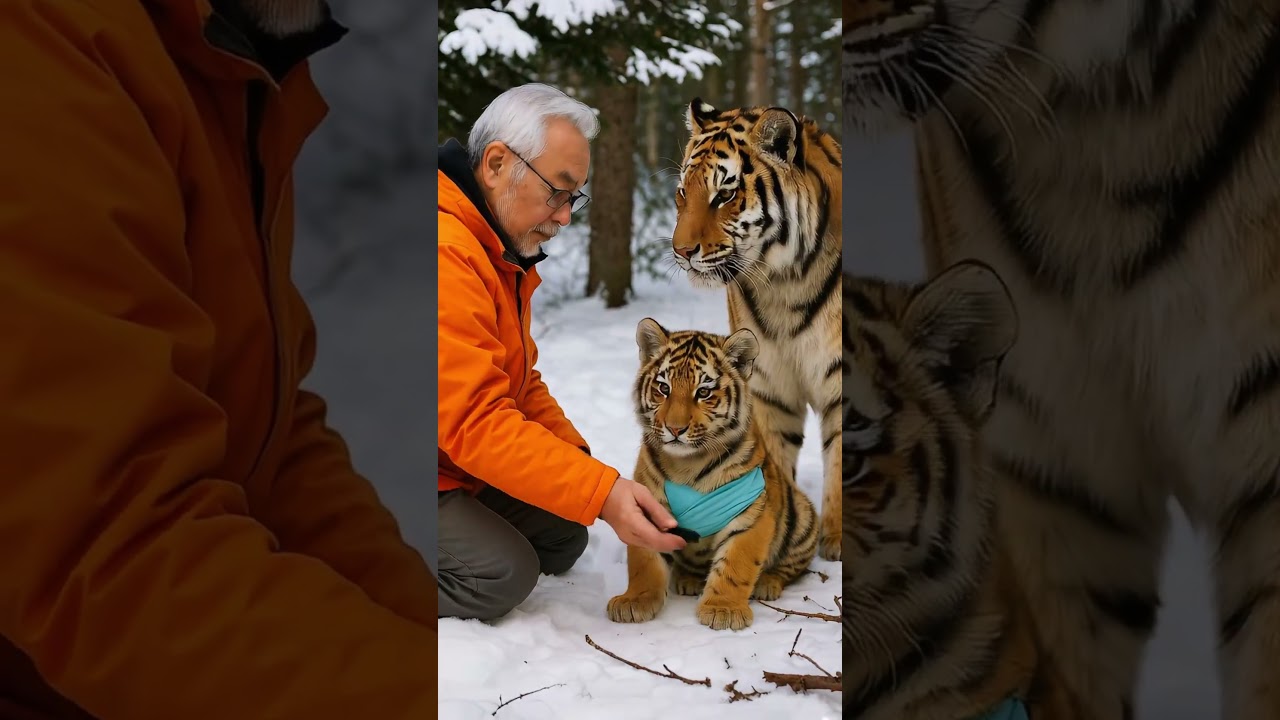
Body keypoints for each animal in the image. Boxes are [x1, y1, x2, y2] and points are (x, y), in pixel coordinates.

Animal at [606, 318, 818, 632]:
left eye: (703, 393)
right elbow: (644, 562)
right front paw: (635, 601)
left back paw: (767, 583)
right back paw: (689, 580)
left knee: (790, 567)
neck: (687, 464)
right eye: (664, 388)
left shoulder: (751, 514)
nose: (675, 428)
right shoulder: (649, 507)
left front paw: (723, 609)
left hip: (801, 516)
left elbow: (736, 564)